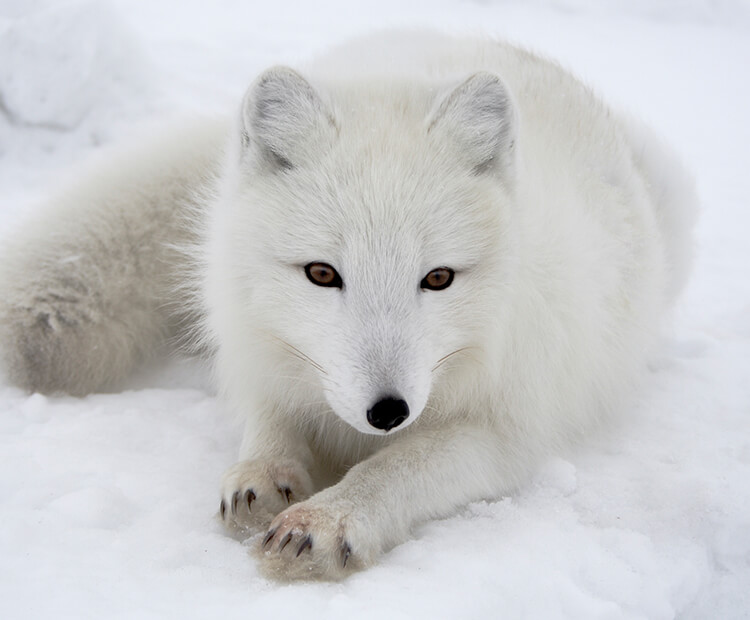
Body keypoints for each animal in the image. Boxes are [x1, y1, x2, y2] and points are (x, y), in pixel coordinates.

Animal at [0, 31, 700, 580]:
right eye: (321, 273)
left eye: (439, 277)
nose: (388, 411)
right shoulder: (257, 347)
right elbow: (269, 419)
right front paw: (261, 474)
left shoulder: (509, 427)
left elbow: (402, 467)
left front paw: (329, 520)